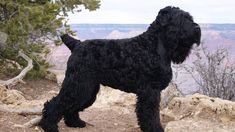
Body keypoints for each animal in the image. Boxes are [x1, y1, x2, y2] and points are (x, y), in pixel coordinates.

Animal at [38, 6, 200, 132]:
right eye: (181, 19)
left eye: (189, 17)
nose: (197, 29)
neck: (153, 45)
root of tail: (77, 44)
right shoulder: (150, 91)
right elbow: (151, 114)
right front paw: (155, 129)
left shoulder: (151, 91)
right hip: (78, 84)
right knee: (56, 103)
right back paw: (48, 125)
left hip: (87, 88)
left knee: (71, 105)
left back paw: (75, 123)